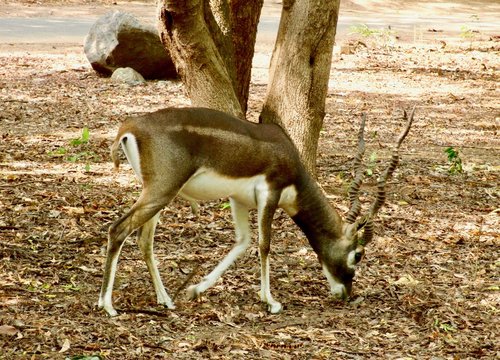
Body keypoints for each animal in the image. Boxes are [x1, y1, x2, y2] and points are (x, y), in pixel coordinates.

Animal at [97, 106, 414, 316]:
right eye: (358, 254)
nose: (346, 293)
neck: (289, 157)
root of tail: (129, 129)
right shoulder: (269, 194)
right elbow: (264, 245)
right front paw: (270, 301)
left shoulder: (239, 201)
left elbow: (242, 242)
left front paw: (196, 289)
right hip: (161, 192)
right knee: (117, 229)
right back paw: (107, 305)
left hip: (158, 195)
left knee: (144, 240)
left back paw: (165, 300)